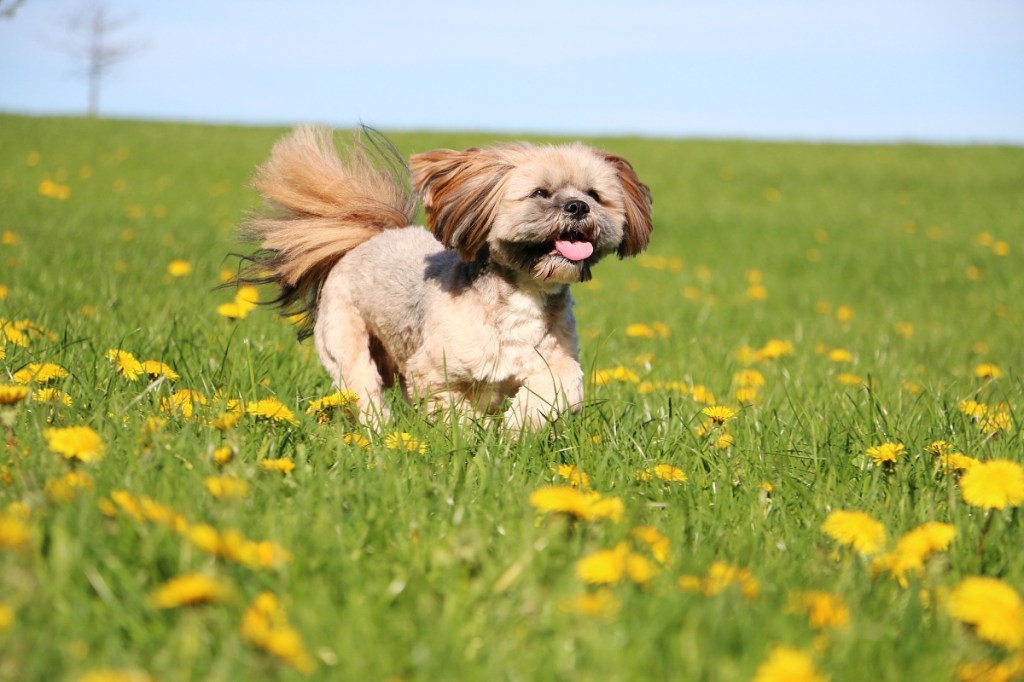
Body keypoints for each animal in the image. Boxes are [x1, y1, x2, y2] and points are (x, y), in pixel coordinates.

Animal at [243, 125, 651, 425]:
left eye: (594, 194)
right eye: (540, 192)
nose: (578, 206)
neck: (522, 297)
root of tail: (371, 236)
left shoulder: (556, 363)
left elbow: (560, 388)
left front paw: (517, 426)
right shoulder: (432, 373)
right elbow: (456, 413)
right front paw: (475, 439)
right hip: (346, 343)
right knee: (364, 390)